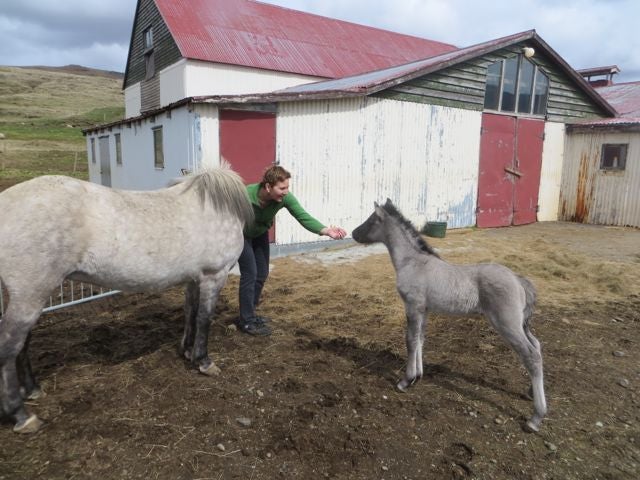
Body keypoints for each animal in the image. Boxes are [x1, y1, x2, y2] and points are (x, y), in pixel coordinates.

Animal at [0, 164, 254, 433]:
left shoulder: (194, 279)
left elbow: (191, 314)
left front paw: (187, 351)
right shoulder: (214, 276)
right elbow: (204, 319)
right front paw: (204, 362)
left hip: (31, 295)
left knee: (23, 343)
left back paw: (33, 390)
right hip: (30, 295)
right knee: (9, 347)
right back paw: (21, 415)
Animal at [352, 199, 546, 432]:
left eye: (371, 220)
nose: (353, 233)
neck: (413, 262)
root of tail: (518, 279)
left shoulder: (413, 306)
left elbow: (410, 341)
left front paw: (406, 381)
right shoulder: (424, 310)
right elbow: (420, 340)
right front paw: (418, 376)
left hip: (507, 324)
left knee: (531, 355)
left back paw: (536, 418)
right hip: (521, 324)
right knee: (537, 345)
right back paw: (530, 392)